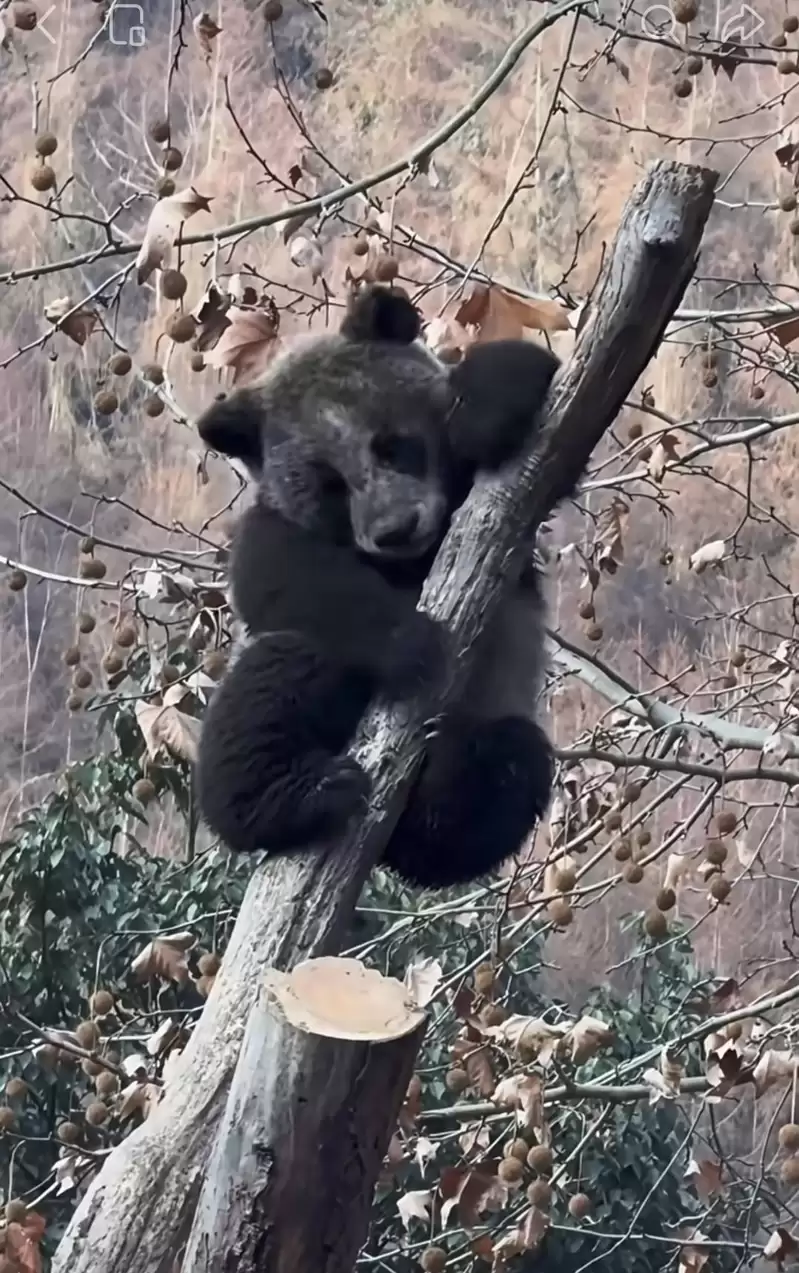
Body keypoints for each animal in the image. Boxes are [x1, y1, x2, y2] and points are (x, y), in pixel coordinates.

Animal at [193, 283, 563, 889]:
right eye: (331, 486)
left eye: (393, 446)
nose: (394, 530)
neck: (413, 563)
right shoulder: (276, 526)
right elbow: (278, 577)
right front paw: (412, 643)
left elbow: (526, 389)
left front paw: (483, 409)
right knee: (271, 690)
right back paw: (299, 796)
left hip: (494, 714)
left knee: (504, 777)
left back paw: (445, 782)